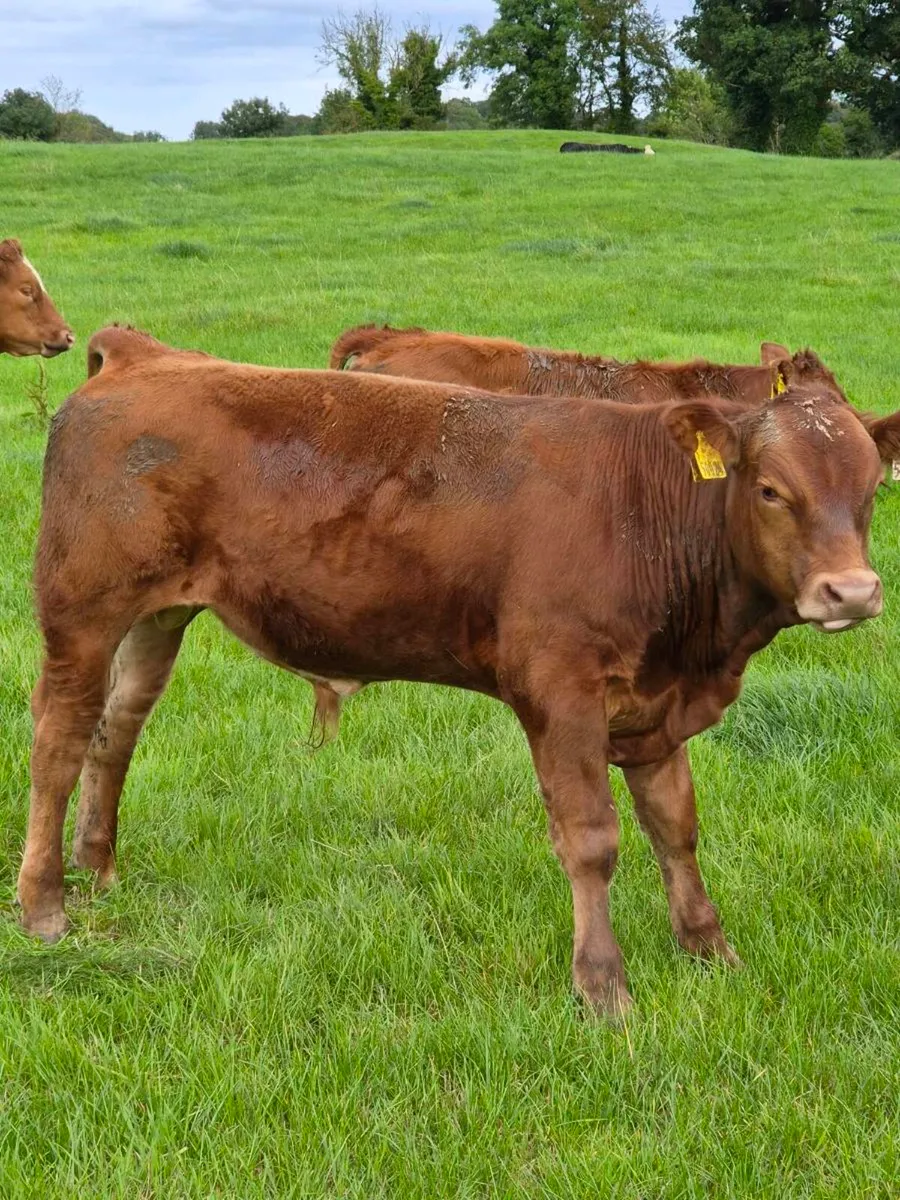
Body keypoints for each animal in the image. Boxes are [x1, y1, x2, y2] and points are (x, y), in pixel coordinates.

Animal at [18, 325, 898, 1018]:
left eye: (867, 491)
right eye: (771, 489)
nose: (851, 591)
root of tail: (143, 355)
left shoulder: (657, 703)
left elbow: (675, 829)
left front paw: (712, 951)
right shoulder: (560, 693)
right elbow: (592, 839)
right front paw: (603, 987)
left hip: (157, 618)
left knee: (115, 733)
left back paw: (97, 867)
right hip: (82, 612)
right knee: (59, 743)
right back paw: (43, 906)